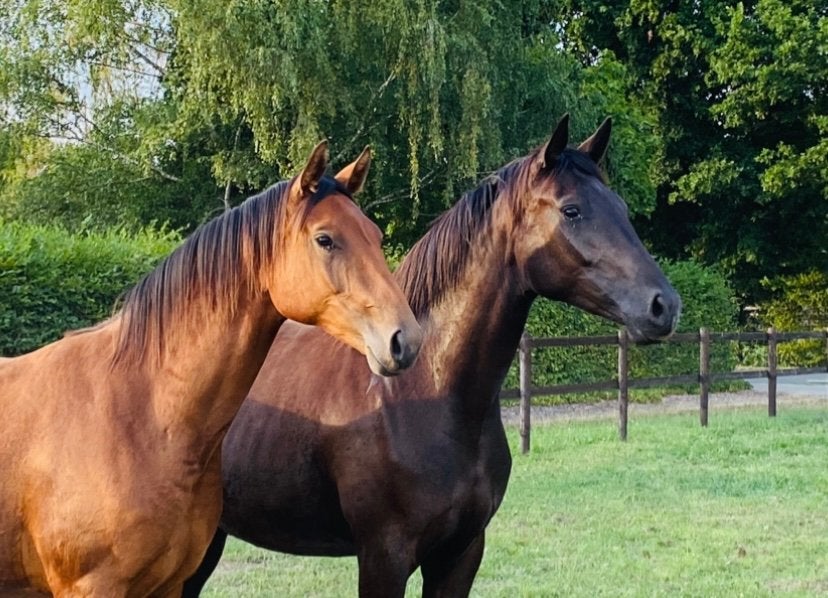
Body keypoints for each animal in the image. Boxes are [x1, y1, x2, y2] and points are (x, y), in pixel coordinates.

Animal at [0, 142, 421, 597]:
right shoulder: (93, 587)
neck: (139, 414)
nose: (406, 340)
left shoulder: (168, 585)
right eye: (325, 239)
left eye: (376, 237)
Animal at [184, 115, 682, 597]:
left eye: (620, 209)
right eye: (571, 210)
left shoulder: (462, 553)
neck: (424, 394)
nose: (664, 305)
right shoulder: (384, 557)